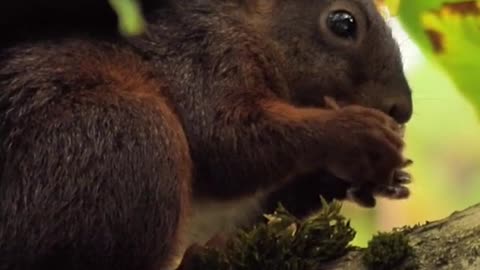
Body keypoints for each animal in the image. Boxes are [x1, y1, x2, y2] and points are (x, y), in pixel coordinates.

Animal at [0, 0, 412, 268]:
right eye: (343, 23)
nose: (402, 109)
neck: (249, 27)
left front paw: (367, 178)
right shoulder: (204, 54)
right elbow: (226, 142)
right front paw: (353, 133)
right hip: (124, 138)